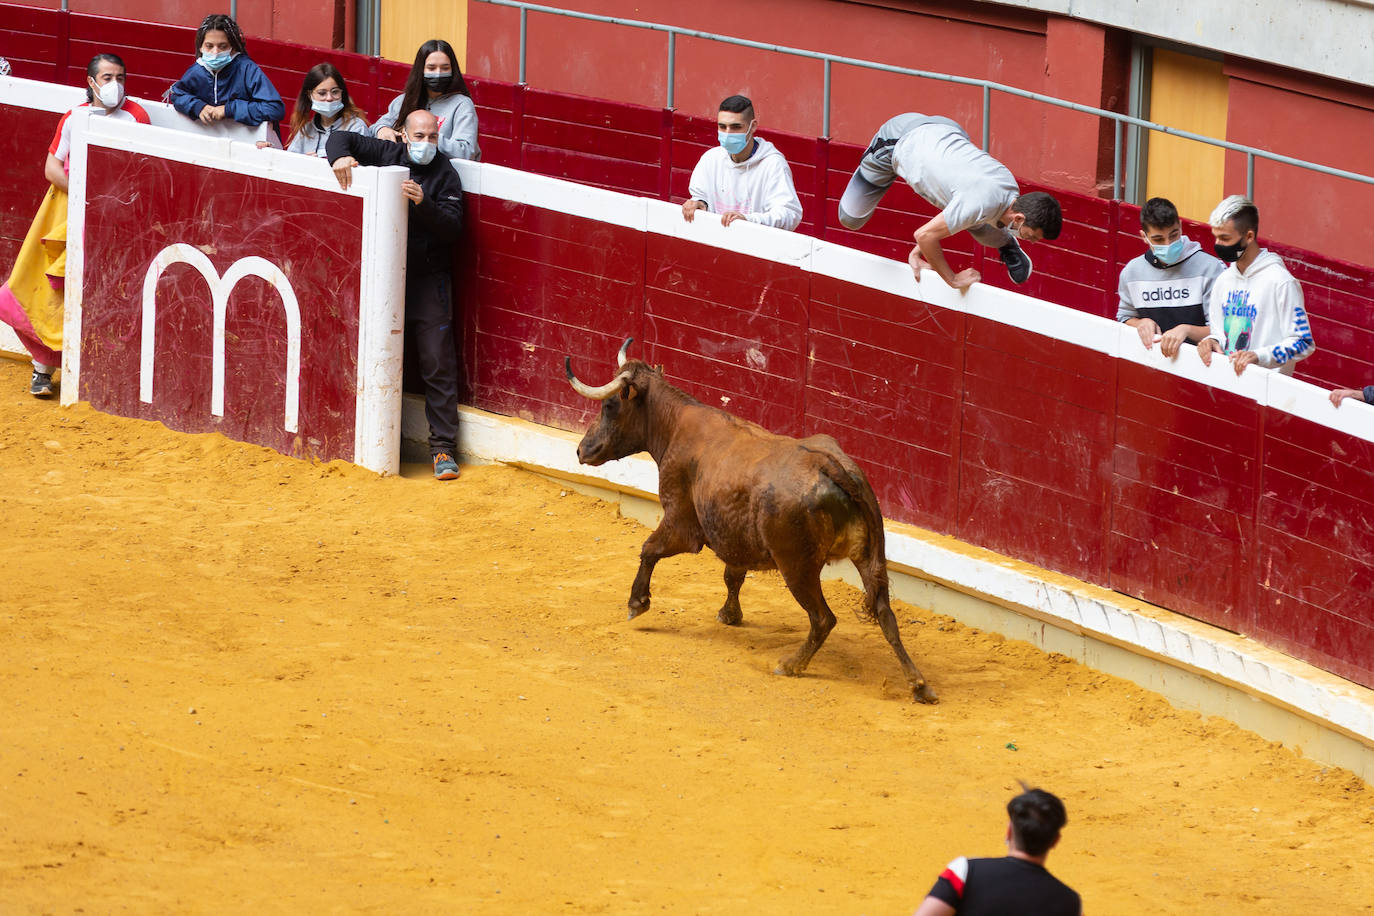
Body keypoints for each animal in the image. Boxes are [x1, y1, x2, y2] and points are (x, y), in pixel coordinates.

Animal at [563, 336, 939, 703]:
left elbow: (649, 550)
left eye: (609, 406)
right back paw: (919, 684)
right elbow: (733, 575)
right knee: (885, 613)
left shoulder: (681, 524)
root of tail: (829, 465)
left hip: (797, 566)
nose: (581, 450)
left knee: (823, 619)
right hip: (870, 556)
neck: (674, 426)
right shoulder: (735, 536)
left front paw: (636, 603)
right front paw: (729, 615)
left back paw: (791, 664)